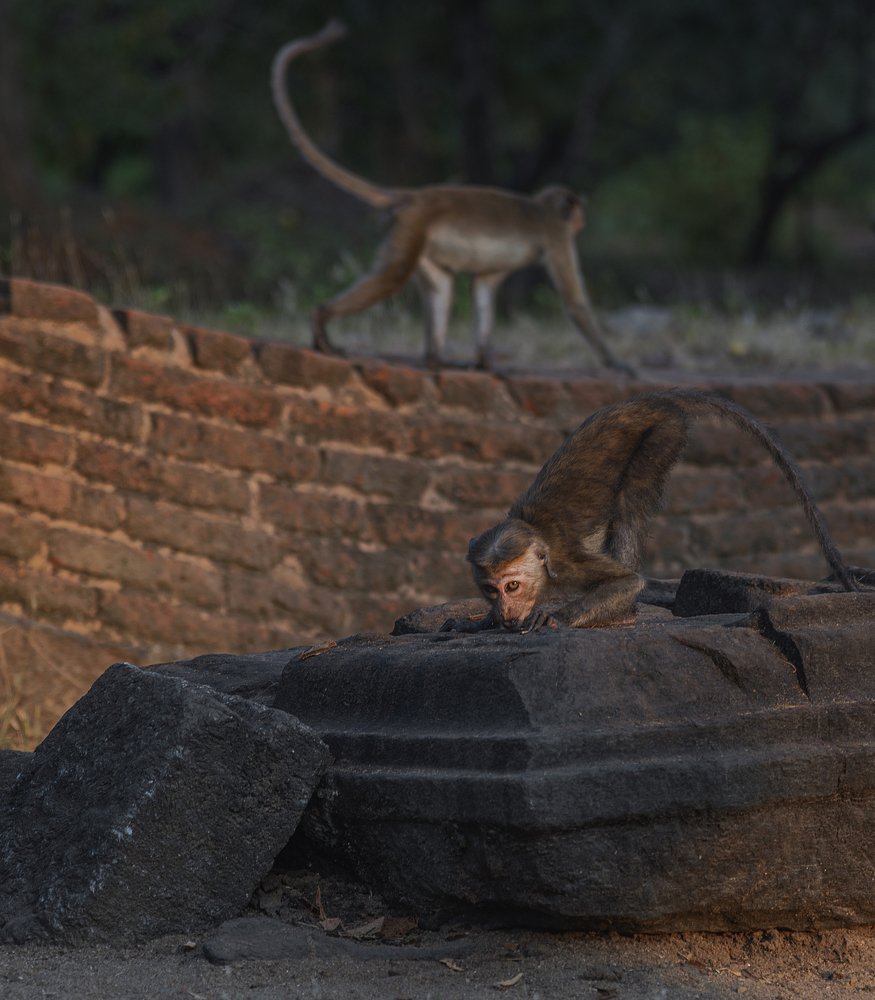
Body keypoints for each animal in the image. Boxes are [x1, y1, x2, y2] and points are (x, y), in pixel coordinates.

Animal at [271, 20, 630, 374]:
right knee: (394, 275)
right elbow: (575, 302)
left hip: (416, 236)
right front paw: (615, 363)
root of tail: (413, 197)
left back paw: (436, 359)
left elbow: (482, 287)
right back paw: (322, 319)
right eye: (579, 213)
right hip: (412, 226)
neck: (543, 208)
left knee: (441, 286)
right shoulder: (557, 236)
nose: (583, 221)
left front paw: (485, 362)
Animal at [442, 389, 859, 634]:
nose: (506, 612)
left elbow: (627, 581)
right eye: (491, 589)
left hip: (664, 433)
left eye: (512, 586)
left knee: (629, 501)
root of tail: (650, 401)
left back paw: (621, 614)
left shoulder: (569, 560)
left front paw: (557, 616)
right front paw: (479, 621)